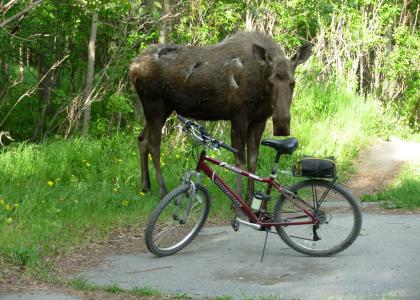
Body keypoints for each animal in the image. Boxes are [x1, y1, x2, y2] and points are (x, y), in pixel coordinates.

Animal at [130, 31, 312, 199]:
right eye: (271, 81)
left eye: (293, 82)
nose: (282, 125)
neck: (261, 88)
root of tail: (132, 66)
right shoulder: (238, 116)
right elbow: (240, 160)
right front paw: (237, 201)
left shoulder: (259, 119)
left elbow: (253, 160)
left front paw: (250, 197)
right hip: (154, 106)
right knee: (154, 145)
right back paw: (162, 190)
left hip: (163, 109)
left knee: (142, 139)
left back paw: (145, 187)